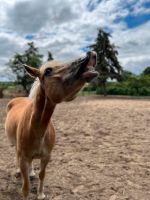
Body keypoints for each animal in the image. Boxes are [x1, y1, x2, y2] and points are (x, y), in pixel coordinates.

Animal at [4, 51, 98, 200]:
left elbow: (42, 175)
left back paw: (31, 173)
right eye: (48, 71)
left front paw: (41, 194)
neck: (36, 130)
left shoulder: (46, 157)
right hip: (16, 147)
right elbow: (26, 187)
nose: (91, 54)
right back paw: (18, 171)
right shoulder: (23, 158)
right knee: (17, 157)